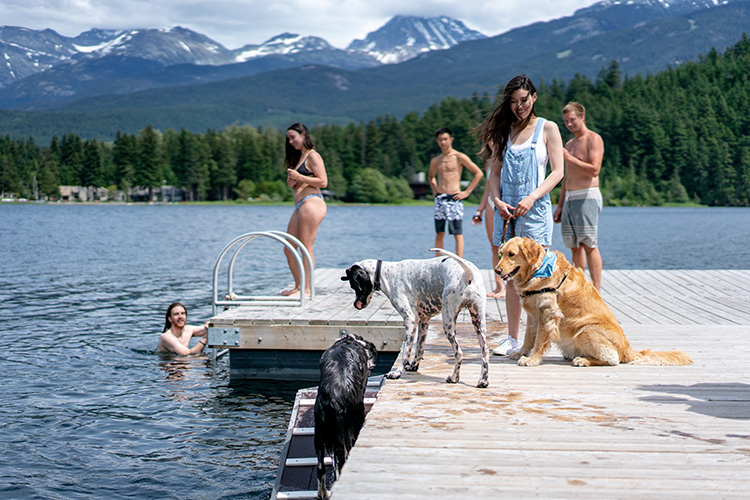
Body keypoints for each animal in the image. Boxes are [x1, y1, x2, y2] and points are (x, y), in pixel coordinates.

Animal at [314, 332, 378, 500]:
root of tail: (332, 398)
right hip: (345, 430)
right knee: (340, 466)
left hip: (319, 434)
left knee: (320, 467)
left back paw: (323, 493)